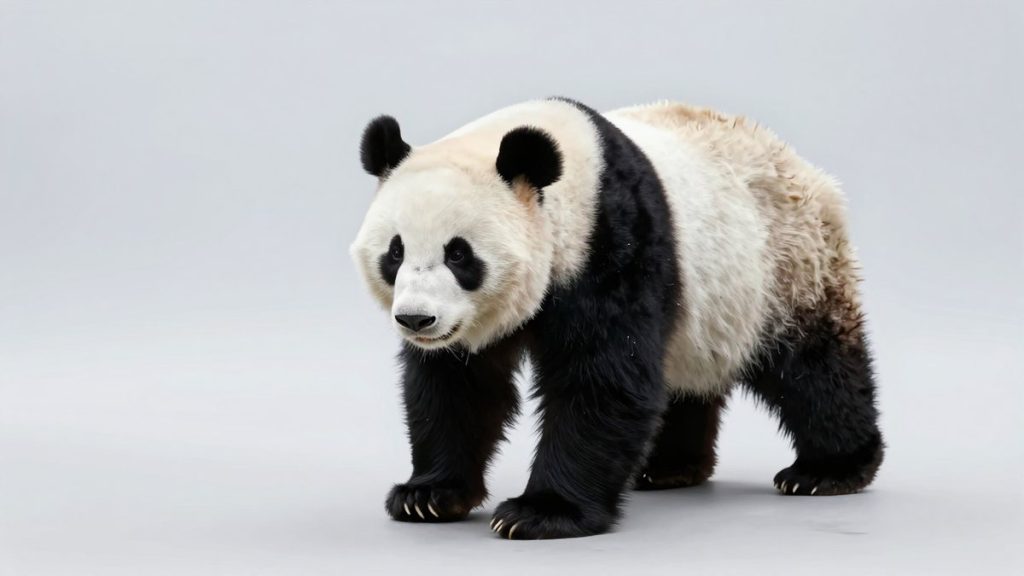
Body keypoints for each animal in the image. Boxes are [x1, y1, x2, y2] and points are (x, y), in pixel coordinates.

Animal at [350, 97, 884, 540]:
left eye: (459, 254)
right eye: (395, 252)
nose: (416, 320)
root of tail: (803, 167)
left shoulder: (615, 242)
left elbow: (602, 380)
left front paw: (542, 512)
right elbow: (457, 387)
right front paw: (428, 495)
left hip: (785, 263)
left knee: (813, 367)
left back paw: (827, 471)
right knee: (684, 378)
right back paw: (671, 468)